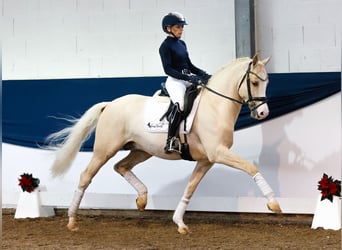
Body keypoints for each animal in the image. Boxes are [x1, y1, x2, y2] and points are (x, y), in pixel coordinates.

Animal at [47, 54, 280, 234]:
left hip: (142, 150)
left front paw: (179, 223)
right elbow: (251, 168)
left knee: (120, 166)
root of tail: (110, 104)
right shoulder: (218, 153)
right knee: (86, 176)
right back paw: (72, 220)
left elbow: (190, 188)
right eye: (255, 83)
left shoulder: (207, 160)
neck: (215, 106)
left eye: (267, 82)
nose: (262, 113)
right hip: (105, 150)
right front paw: (273, 203)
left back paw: (142, 199)